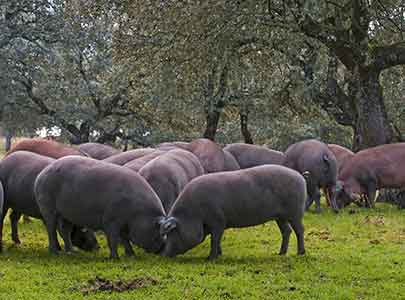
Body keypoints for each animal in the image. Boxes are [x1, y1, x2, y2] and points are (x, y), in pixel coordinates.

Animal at [34, 156, 166, 258]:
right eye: (158, 232)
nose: (163, 247)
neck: (139, 213)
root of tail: (40, 175)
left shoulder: (124, 224)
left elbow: (125, 239)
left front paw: (131, 255)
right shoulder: (111, 221)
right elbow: (113, 238)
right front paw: (115, 258)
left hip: (66, 214)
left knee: (65, 230)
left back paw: (72, 252)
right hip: (47, 206)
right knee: (51, 228)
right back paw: (55, 253)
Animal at [159, 165, 304, 258]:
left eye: (173, 231)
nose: (164, 254)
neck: (194, 213)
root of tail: (299, 176)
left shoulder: (218, 220)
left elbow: (215, 239)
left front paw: (210, 258)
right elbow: (216, 239)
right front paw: (219, 254)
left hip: (295, 212)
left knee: (299, 230)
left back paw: (300, 253)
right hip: (280, 217)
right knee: (287, 231)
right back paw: (280, 254)